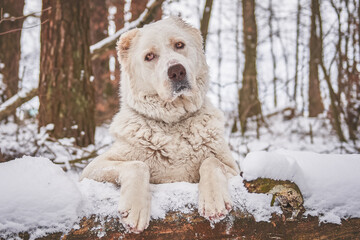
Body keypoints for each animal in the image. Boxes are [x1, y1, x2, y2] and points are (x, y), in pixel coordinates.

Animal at [80, 17, 240, 234]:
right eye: (149, 56)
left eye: (179, 45)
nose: (177, 71)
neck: (172, 124)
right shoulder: (92, 170)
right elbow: (138, 165)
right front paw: (136, 209)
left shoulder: (234, 170)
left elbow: (212, 161)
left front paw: (214, 200)